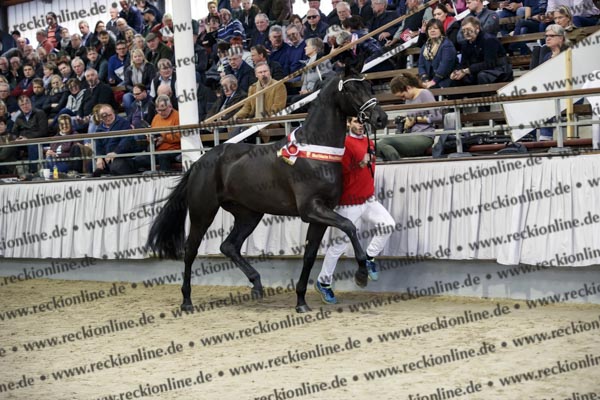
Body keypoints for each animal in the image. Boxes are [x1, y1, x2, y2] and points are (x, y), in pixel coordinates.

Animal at [146, 66, 388, 313]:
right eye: (351, 88)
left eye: (368, 86)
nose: (381, 118)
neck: (316, 152)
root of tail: (199, 162)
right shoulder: (311, 210)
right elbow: (349, 226)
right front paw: (362, 273)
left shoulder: (321, 215)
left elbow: (310, 255)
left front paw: (301, 301)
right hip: (203, 213)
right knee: (190, 250)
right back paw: (187, 301)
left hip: (249, 214)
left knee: (229, 245)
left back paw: (256, 284)